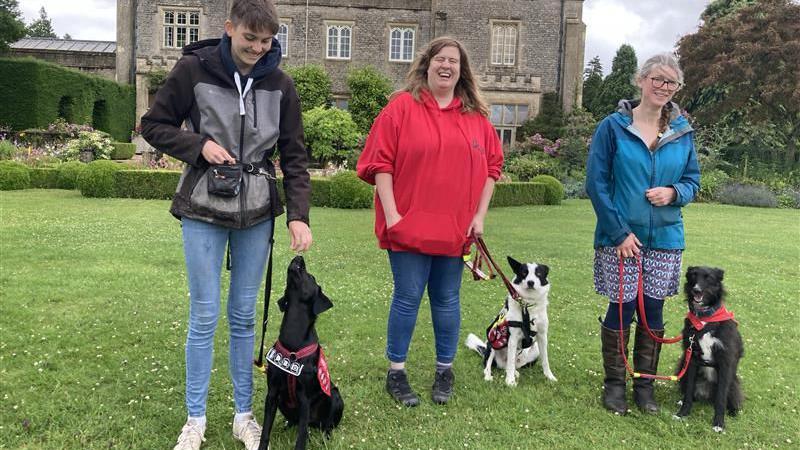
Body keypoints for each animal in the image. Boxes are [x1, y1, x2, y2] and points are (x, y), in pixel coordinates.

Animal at [258, 256, 342, 450]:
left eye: (310, 277)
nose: (299, 257)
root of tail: (315, 423)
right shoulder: (272, 393)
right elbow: (265, 431)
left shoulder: (305, 399)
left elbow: (301, 436)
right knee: (296, 422)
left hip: (335, 396)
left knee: (326, 425)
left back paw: (326, 436)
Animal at [676, 268, 744, 432]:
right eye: (693, 276)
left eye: (708, 278)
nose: (696, 290)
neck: (704, 320)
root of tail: (706, 394)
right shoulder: (692, 359)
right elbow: (689, 392)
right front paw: (682, 413)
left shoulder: (725, 362)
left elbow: (721, 398)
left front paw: (719, 424)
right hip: (682, 367)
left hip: (733, 381)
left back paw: (733, 411)